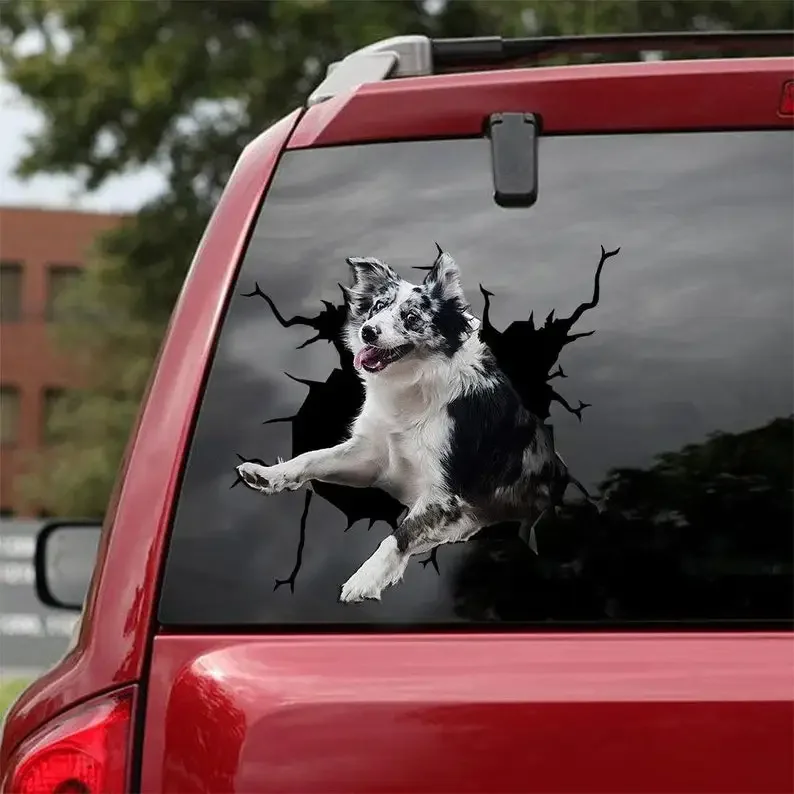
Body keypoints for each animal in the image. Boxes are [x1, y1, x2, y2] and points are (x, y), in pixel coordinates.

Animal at [235, 246, 580, 600]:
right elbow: (311, 457)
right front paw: (270, 475)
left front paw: (365, 577)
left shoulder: (445, 496)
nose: (368, 331)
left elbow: (399, 533)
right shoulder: (373, 460)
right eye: (376, 308)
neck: (414, 388)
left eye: (412, 317)